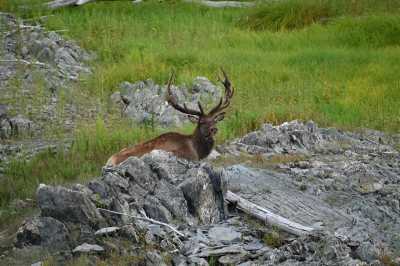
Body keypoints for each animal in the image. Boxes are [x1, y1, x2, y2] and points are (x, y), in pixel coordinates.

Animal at [106, 70, 234, 166]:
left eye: (214, 120)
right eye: (201, 122)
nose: (214, 129)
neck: (197, 150)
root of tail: (110, 161)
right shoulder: (189, 156)